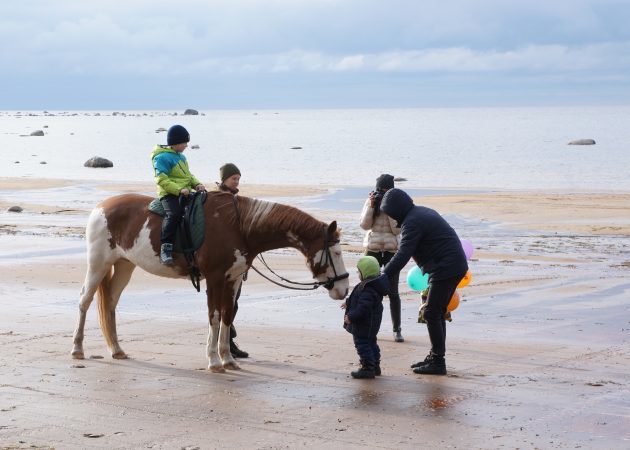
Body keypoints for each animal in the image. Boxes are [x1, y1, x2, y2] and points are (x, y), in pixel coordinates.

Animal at [74, 192, 354, 370]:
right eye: (337, 253)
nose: (343, 289)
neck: (239, 226)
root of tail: (101, 206)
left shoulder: (233, 280)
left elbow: (228, 316)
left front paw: (228, 359)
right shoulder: (215, 279)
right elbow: (215, 316)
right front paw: (213, 360)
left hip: (124, 266)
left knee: (110, 304)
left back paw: (116, 349)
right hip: (98, 264)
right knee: (85, 301)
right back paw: (77, 348)